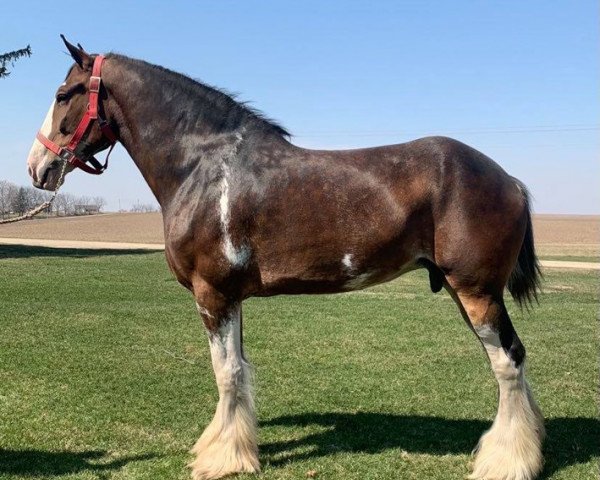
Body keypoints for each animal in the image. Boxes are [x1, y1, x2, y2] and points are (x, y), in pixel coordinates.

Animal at [27, 37, 544, 480]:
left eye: (63, 94)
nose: (38, 167)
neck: (204, 167)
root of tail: (509, 180)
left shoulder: (212, 293)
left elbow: (227, 373)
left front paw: (223, 459)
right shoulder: (231, 297)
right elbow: (237, 368)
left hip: (476, 292)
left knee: (508, 362)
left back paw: (507, 461)